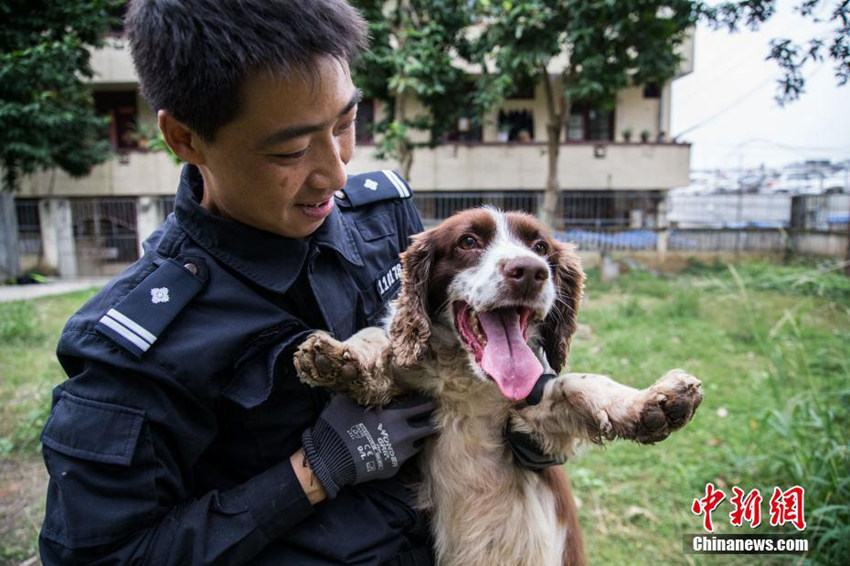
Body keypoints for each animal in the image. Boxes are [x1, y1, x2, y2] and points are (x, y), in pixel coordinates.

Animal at [294, 209, 704, 566]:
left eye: (540, 246)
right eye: (468, 241)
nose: (530, 272)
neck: (468, 379)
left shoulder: (529, 424)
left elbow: (576, 383)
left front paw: (653, 405)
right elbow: (374, 340)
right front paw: (339, 359)